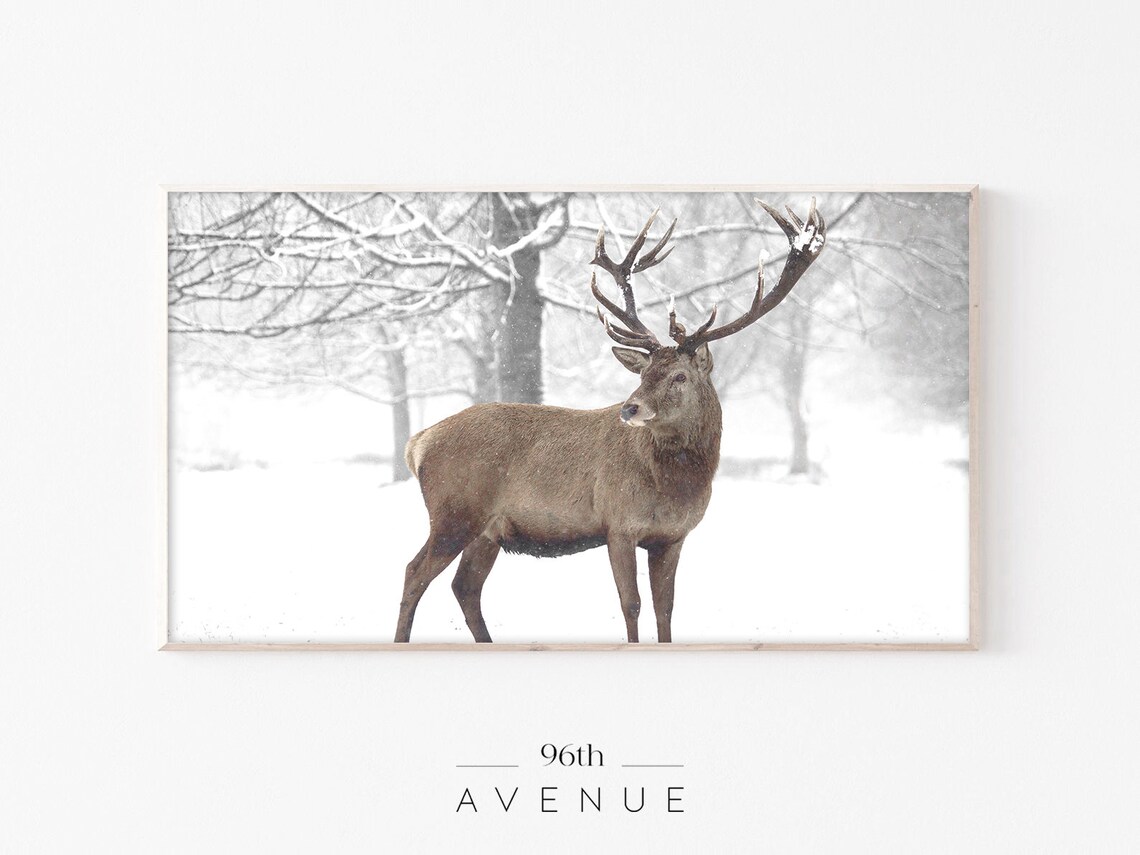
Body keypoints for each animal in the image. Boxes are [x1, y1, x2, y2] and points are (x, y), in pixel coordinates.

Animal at [394, 198, 827, 643]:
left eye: (679, 376)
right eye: (643, 373)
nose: (629, 408)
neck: (676, 486)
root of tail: (418, 443)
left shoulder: (673, 537)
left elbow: (666, 609)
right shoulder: (618, 524)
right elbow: (631, 605)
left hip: (488, 529)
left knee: (464, 586)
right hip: (454, 511)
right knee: (414, 573)